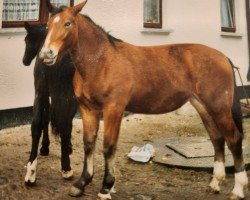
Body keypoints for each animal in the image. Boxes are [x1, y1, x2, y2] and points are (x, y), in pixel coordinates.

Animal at [22, 21, 77, 184]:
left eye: (26, 41)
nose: (25, 61)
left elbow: (44, 120)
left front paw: (45, 147)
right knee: (63, 123)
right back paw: (65, 167)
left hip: (42, 92)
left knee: (37, 124)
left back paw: (31, 171)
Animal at [39, 1, 248, 200]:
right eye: (48, 25)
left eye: (68, 23)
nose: (46, 54)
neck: (101, 62)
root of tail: (223, 57)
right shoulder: (88, 109)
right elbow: (89, 144)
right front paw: (82, 183)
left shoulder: (113, 109)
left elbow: (108, 146)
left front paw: (106, 187)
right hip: (203, 107)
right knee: (217, 139)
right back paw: (215, 183)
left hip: (219, 107)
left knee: (233, 138)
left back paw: (237, 189)